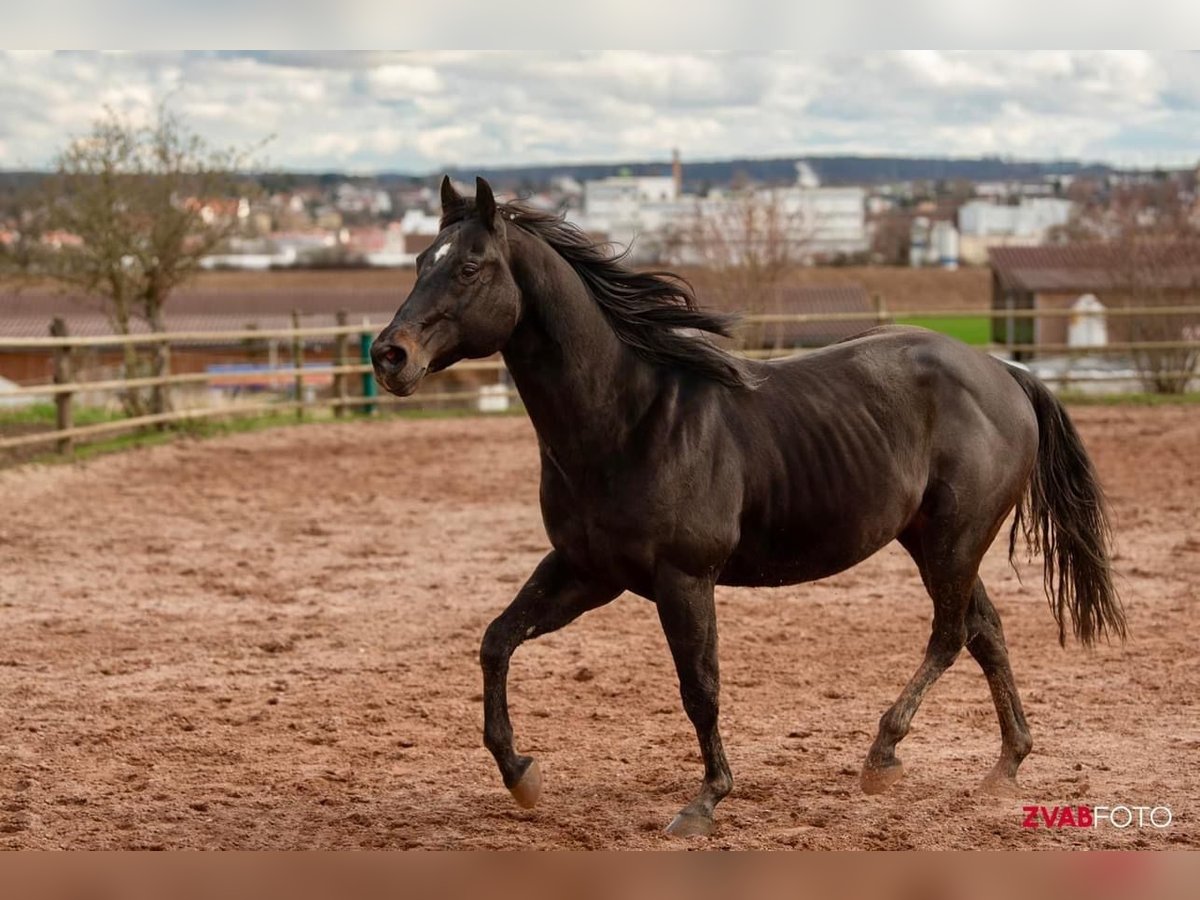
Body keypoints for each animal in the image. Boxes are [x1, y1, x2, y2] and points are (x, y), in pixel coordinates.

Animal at [367, 176, 1123, 840]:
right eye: (420, 261)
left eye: (470, 266)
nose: (388, 355)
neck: (630, 419)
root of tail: (1006, 374)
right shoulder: (587, 572)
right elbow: (497, 640)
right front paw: (521, 774)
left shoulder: (683, 579)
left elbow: (699, 688)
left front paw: (704, 803)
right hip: (933, 541)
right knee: (985, 631)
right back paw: (1004, 768)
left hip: (953, 541)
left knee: (950, 634)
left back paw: (882, 757)